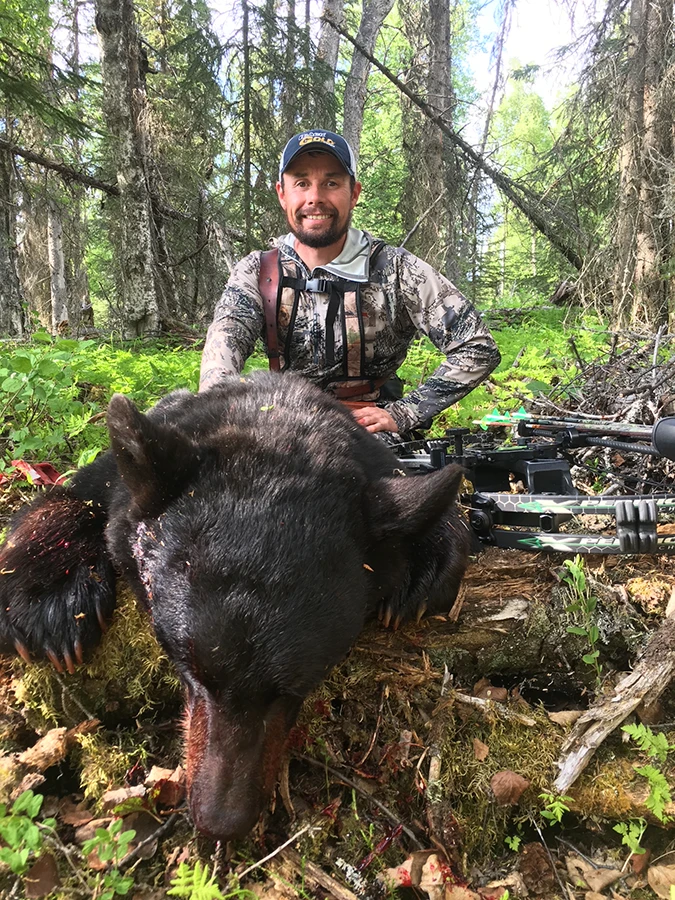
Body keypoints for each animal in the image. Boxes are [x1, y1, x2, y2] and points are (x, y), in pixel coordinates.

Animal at [0, 371, 469, 841]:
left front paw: (423, 571)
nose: (220, 822)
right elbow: (71, 497)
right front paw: (51, 603)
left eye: (296, 686)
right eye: (189, 669)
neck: (272, 423)